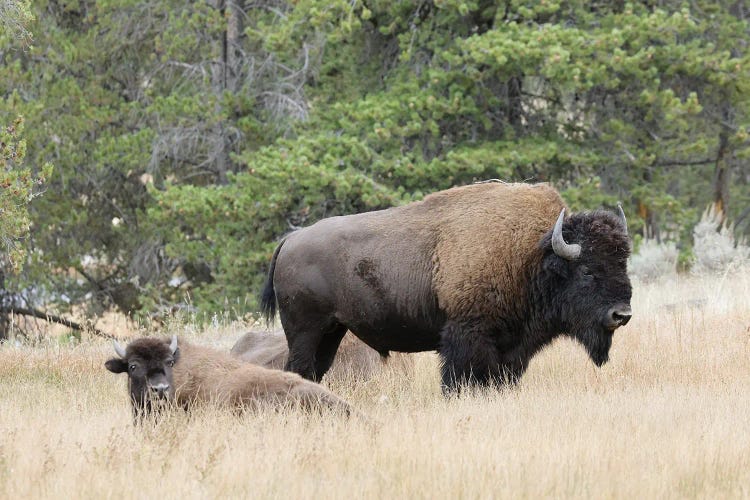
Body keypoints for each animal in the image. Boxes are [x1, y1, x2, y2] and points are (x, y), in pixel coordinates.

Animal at [262, 182, 632, 392]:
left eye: (623, 262)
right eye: (587, 270)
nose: (622, 314)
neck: (530, 254)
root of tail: (292, 239)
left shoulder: (511, 349)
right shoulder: (466, 336)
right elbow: (458, 379)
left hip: (332, 331)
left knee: (315, 370)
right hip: (305, 331)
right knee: (300, 367)